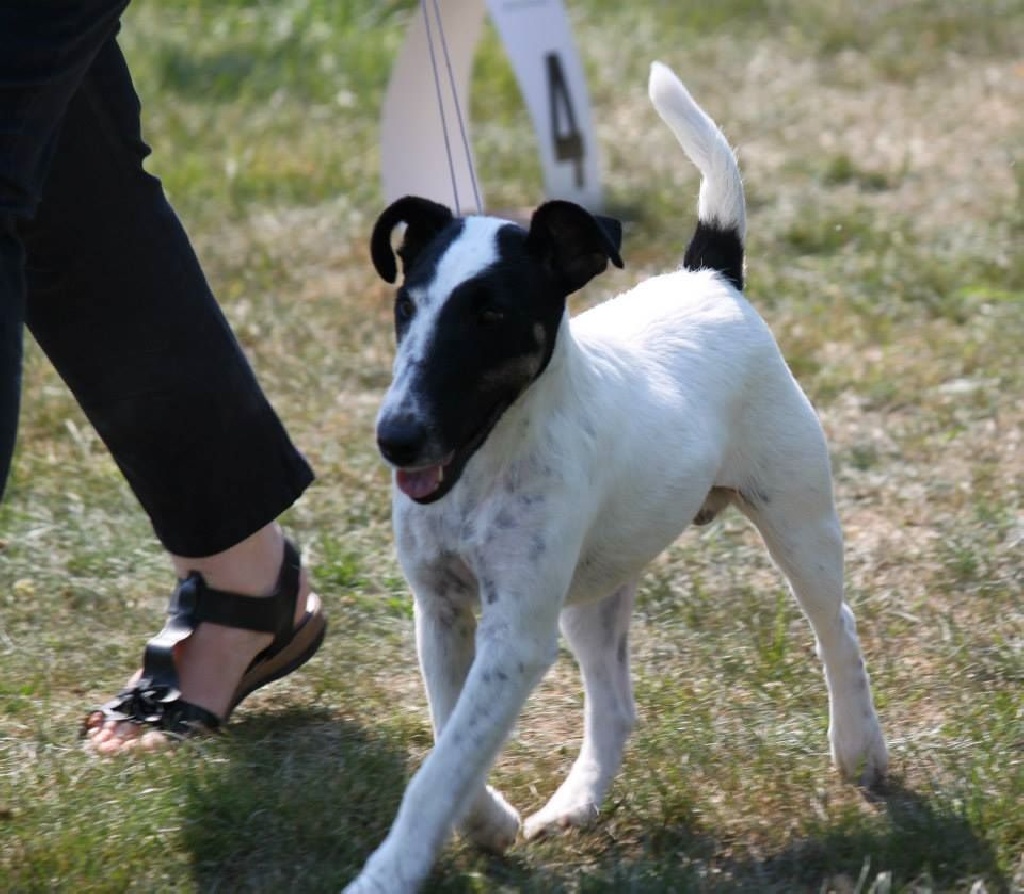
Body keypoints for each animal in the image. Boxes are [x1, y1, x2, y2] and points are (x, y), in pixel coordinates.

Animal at [346, 59, 888, 888]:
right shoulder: (441, 611)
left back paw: (859, 748)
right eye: (407, 305)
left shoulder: (515, 634)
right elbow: (449, 740)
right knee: (615, 702)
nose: (396, 439)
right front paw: (488, 823)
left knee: (838, 626)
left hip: (798, 523)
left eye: (491, 316)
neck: (486, 468)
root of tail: (710, 278)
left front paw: (390, 870)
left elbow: (440, 767)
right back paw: (576, 803)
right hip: (591, 591)